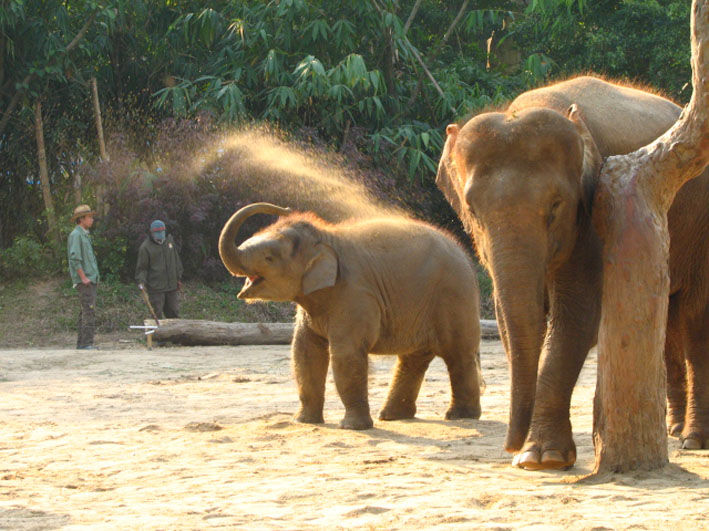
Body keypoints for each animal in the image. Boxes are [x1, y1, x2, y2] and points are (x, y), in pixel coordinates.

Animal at [218, 202, 483, 429]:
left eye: (269, 258)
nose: (285, 207)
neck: (326, 237)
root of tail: (465, 256)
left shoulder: (355, 295)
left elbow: (346, 355)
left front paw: (353, 427)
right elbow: (305, 353)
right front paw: (304, 421)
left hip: (454, 297)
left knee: (458, 354)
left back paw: (460, 416)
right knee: (414, 359)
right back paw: (393, 417)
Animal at [436, 76, 709, 470]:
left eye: (555, 205)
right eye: (472, 209)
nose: (509, 448)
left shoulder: (597, 209)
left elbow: (577, 314)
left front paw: (542, 458)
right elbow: (507, 316)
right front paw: (535, 455)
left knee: (694, 320)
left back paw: (693, 439)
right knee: (670, 319)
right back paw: (673, 430)